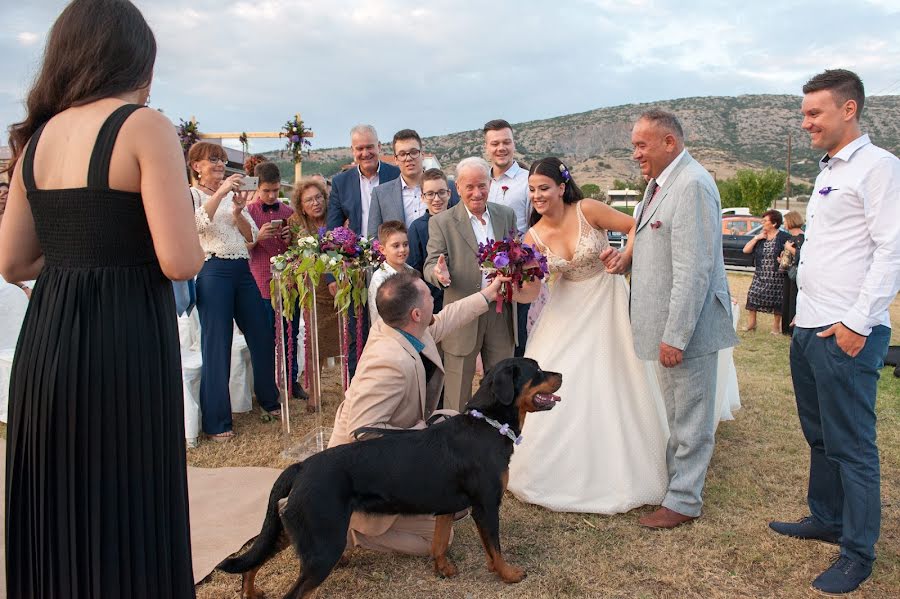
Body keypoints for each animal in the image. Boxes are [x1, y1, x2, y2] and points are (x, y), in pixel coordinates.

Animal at [216, 358, 564, 596]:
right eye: (536, 370)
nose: (560, 374)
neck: (488, 424)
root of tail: (301, 466)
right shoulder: (486, 506)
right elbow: (495, 546)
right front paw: (508, 574)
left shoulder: (447, 507)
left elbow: (439, 542)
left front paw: (443, 568)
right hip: (323, 546)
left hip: (294, 530)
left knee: (251, 563)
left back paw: (251, 591)